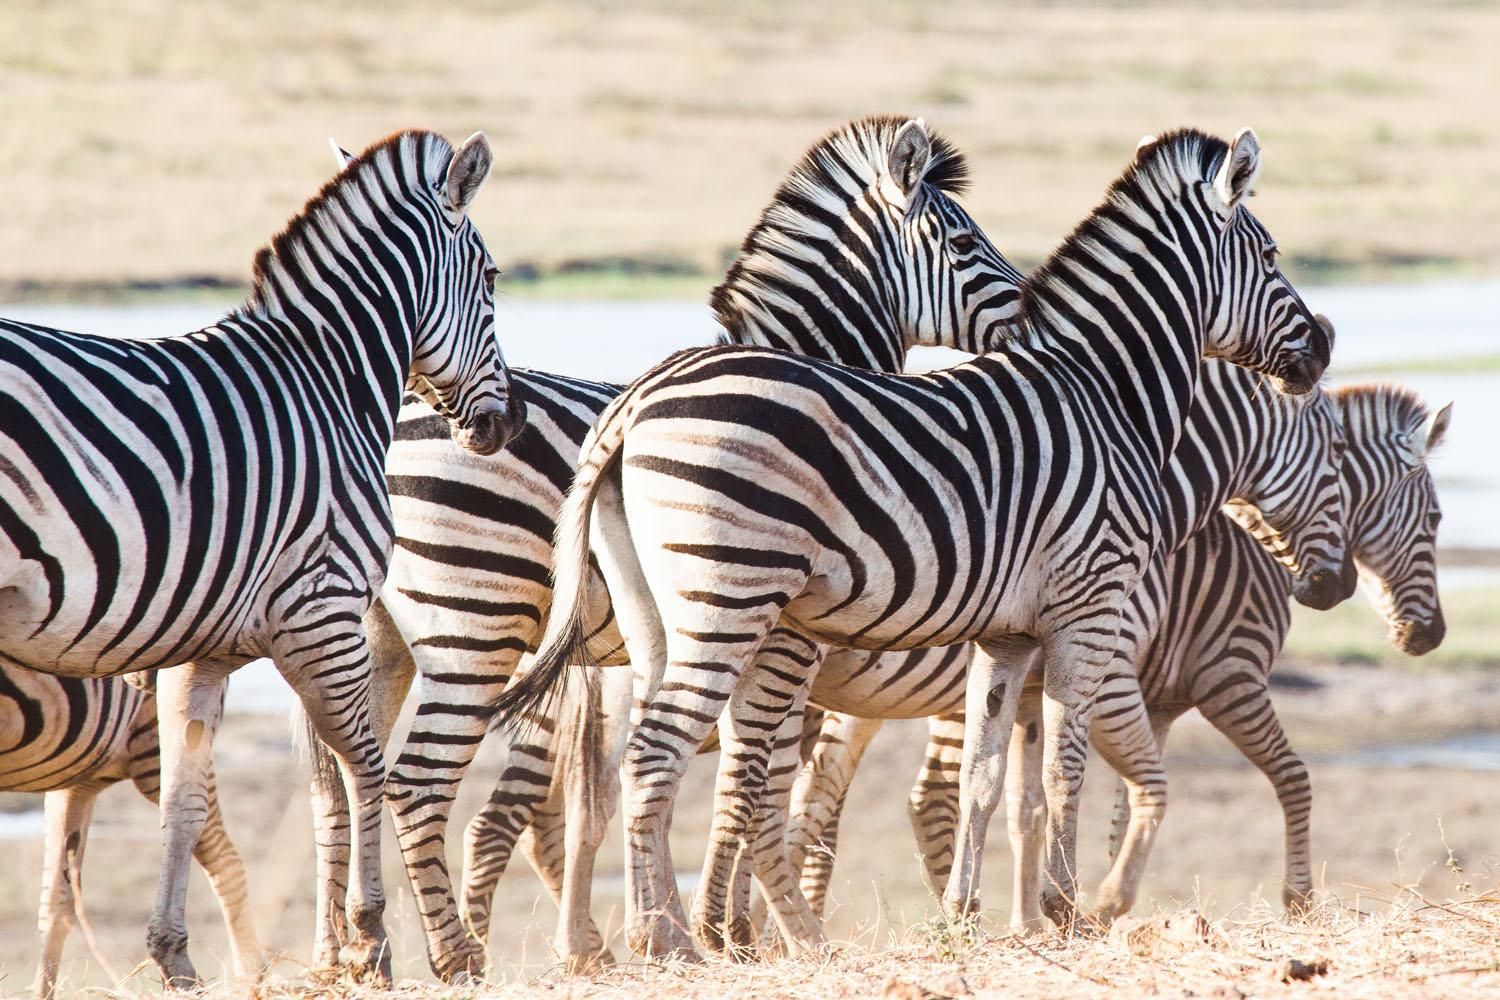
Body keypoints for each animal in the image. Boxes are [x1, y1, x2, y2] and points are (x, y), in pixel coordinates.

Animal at [306, 113, 1026, 983]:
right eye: (962, 241)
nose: (1030, 307)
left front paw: (696, 928)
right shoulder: (784, 636)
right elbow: (755, 778)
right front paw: (733, 930)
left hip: (371, 630)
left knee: (343, 780)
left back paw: (356, 953)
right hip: (472, 619)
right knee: (417, 781)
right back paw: (456, 956)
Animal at [498, 127, 1332, 959]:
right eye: (1270, 254)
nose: (1324, 345)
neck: (1104, 393)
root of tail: (635, 401)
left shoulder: (1007, 636)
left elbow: (983, 780)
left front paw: (965, 913)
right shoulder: (1090, 613)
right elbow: (1064, 770)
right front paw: (1066, 912)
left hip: (652, 621)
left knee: (621, 774)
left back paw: (653, 934)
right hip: (728, 601)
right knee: (654, 758)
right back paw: (669, 939)